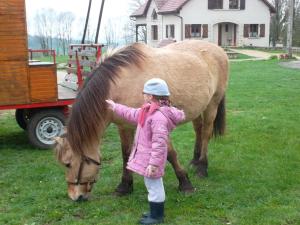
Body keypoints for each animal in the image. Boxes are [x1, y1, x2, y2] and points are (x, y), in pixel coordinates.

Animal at [54, 40, 229, 200]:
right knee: (199, 130)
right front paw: (124, 186)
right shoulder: (124, 126)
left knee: (206, 133)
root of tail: (219, 49)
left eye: (68, 164)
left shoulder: (158, 123)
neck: (120, 84)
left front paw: (185, 183)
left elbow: (170, 154)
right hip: (196, 108)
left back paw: (202, 167)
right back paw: (195, 161)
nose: (74, 196)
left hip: (212, 104)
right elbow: (126, 154)